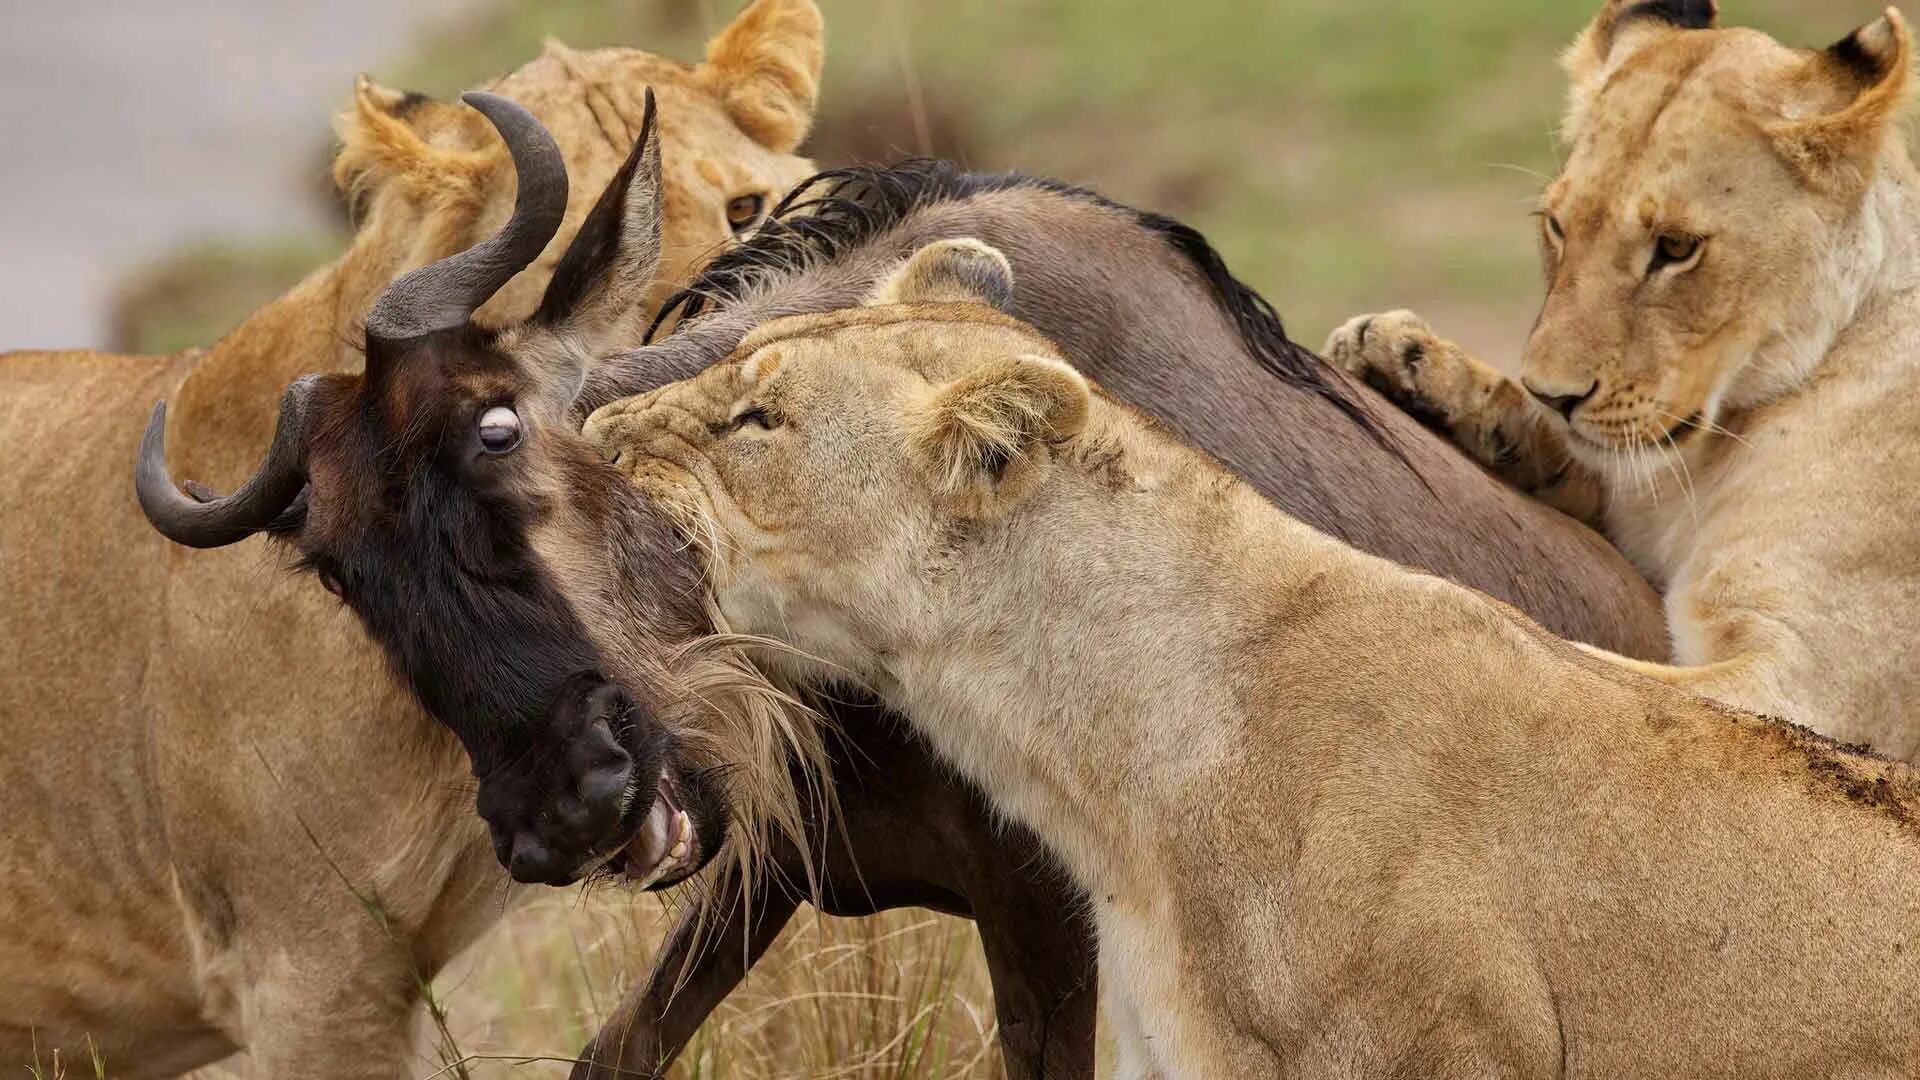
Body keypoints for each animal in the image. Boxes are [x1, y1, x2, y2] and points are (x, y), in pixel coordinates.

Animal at [1328, 4, 1920, 753]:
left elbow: (1581, 671)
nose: (1555, 394)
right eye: (1556, 225)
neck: (1705, 461)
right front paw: (1404, 356)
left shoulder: (1810, 690)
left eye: (1675, 248)